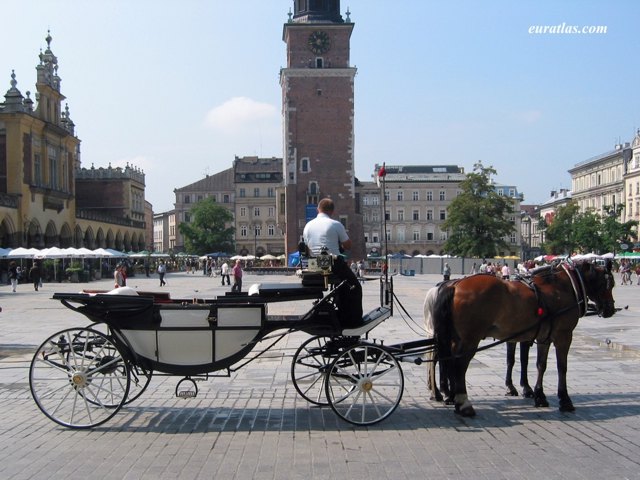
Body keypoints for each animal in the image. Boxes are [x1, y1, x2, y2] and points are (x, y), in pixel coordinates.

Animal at [432, 262, 616, 416]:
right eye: (609, 284)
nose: (610, 309)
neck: (560, 288)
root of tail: (455, 285)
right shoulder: (563, 335)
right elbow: (561, 367)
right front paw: (565, 400)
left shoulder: (544, 337)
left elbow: (540, 365)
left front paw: (539, 396)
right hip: (470, 339)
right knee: (459, 366)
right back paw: (464, 404)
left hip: (456, 338)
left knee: (448, 362)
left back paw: (452, 397)